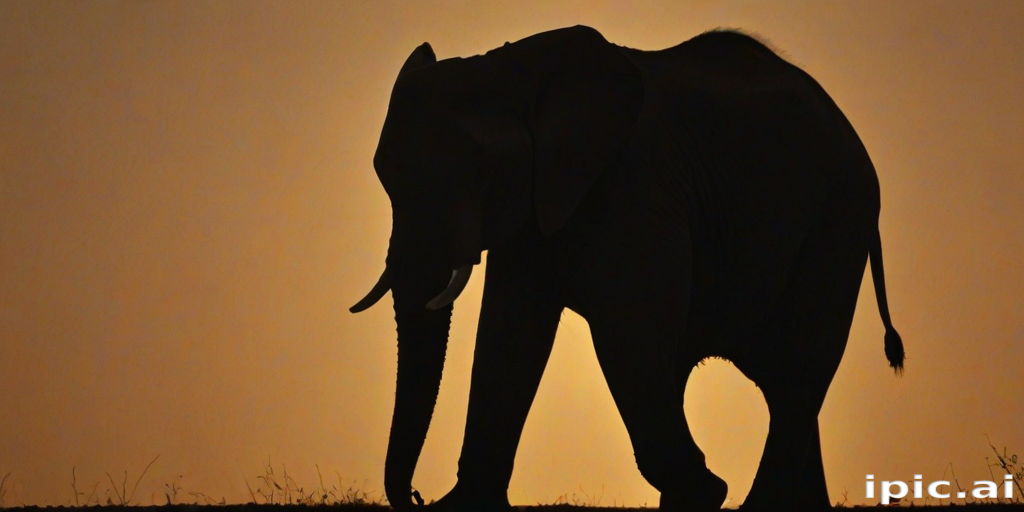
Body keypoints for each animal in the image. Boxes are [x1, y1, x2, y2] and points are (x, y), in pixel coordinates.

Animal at [350, 25, 905, 511]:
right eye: (384, 177)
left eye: (485, 173)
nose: (415, 496)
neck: (515, 69)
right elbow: (510, 334)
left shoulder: (636, 183)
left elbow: (627, 330)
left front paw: (706, 492)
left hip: (840, 219)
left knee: (798, 369)